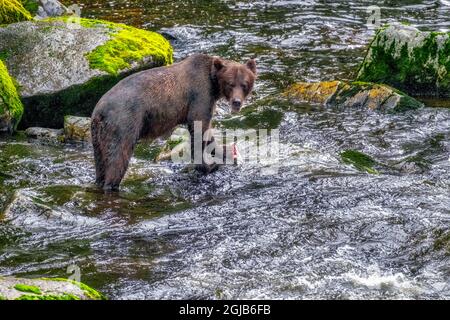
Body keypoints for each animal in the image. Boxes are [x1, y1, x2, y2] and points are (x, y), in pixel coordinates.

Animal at [91, 53, 256, 191]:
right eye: (230, 83)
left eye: (244, 84)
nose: (236, 102)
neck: (214, 86)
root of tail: (99, 111)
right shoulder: (200, 95)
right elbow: (199, 127)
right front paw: (209, 165)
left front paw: (225, 153)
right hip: (124, 123)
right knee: (118, 157)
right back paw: (112, 185)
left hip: (98, 135)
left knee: (101, 162)